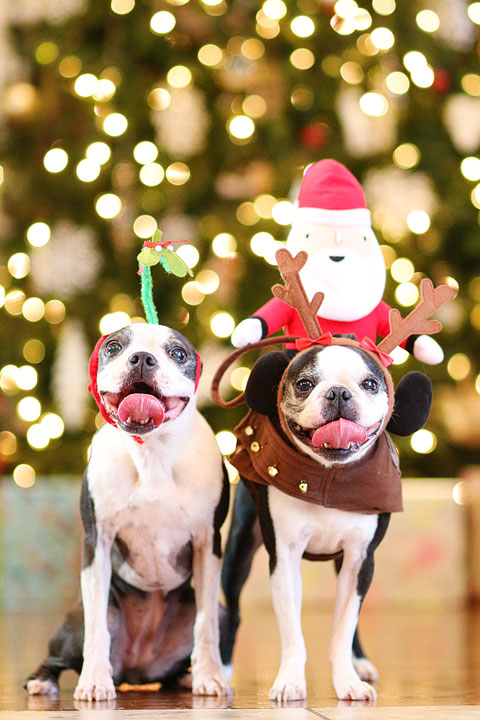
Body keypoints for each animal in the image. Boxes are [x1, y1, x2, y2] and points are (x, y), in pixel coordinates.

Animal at [25, 324, 230, 700]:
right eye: (114, 347)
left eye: (178, 353)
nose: (143, 358)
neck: (152, 451)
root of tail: (136, 670)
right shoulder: (98, 542)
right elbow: (97, 628)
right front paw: (93, 680)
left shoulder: (208, 544)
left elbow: (205, 623)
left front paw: (210, 676)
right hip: (73, 626)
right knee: (60, 654)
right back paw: (43, 680)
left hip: (217, 615)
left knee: (185, 652)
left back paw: (188, 677)